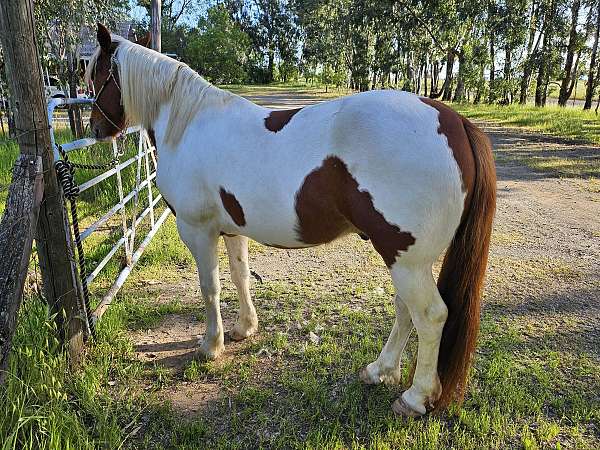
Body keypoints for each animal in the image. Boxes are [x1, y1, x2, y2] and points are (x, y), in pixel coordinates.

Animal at [85, 24, 496, 416]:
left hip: (406, 259)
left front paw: (210, 345)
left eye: (97, 74)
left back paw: (414, 397)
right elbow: (240, 277)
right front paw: (244, 328)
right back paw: (379, 370)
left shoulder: (198, 230)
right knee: (404, 310)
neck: (187, 125)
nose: (95, 129)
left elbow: (210, 287)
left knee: (429, 316)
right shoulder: (231, 229)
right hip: (406, 260)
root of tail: (454, 121)